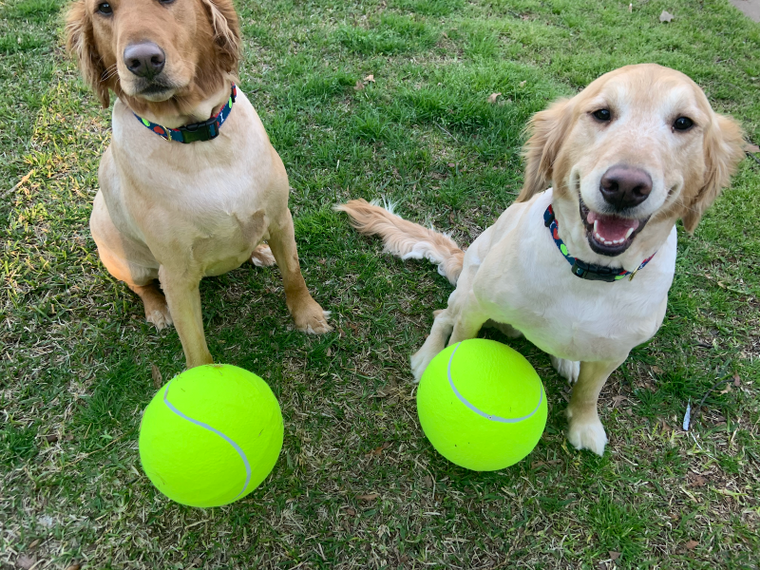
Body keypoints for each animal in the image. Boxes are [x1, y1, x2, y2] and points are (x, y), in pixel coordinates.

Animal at [62, 0, 330, 368]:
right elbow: (195, 348)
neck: (200, 138)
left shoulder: (281, 220)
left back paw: (259, 251)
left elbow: (294, 275)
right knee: (143, 287)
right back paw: (157, 311)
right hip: (128, 261)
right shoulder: (177, 276)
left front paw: (308, 315)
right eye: (103, 7)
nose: (143, 60)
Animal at [338, 64, 744, 452]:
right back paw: (426, 359)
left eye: (683, 123)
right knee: (442, 317)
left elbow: (589, 393)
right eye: (601, 113)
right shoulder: (476, 306)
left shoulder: (615, 352)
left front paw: (585, 425)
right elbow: (459, 342)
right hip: (467, 286)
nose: (625, 186)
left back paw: (567, 360)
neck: (588, 271)